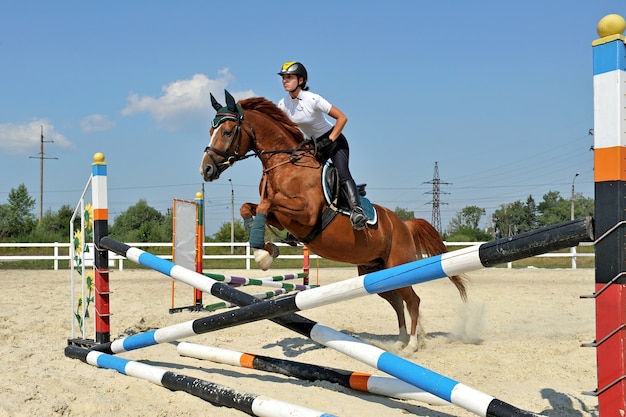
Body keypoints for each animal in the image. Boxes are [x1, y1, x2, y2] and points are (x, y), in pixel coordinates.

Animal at [197, 91, 466, 352]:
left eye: (227, 131)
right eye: (210, 131)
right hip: (375, 273)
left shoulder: (305, 213)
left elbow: (265, 205)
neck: (286, 166)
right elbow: (248, 207)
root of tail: (404, 225)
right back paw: (400, 341)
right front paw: (266, 251)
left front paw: (262, 253)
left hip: (398, 266)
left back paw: (412, 344)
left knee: (413, 300)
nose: (206, 170)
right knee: (398, 302)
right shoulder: (282, 218)